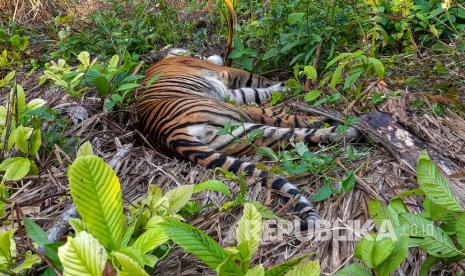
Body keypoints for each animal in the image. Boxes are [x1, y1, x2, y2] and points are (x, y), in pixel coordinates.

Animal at [135, 49, 358, 229]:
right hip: (241, 114)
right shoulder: (226, 72)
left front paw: (284, 86)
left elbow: (255, 90)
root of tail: (167, 134)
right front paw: (289, 83)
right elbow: (257, 79)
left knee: (290, 135)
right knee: (285, 120)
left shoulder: (234, 93)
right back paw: (337, 125)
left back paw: (344, 131)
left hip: (241, 133)